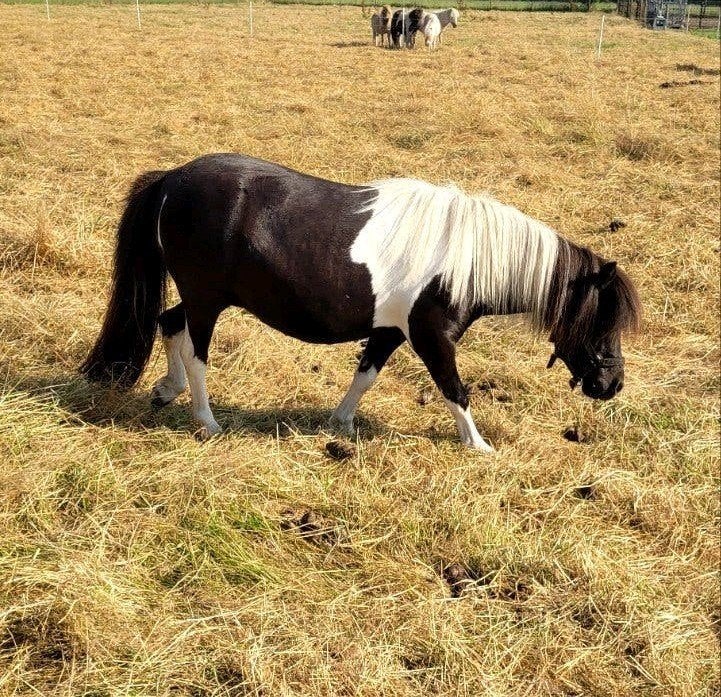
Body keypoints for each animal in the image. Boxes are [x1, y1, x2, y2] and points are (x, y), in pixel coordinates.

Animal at [81, 154, 641, 451]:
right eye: (601, 321)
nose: (612, 384)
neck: (465, 256)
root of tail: (172, 179)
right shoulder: (431, 337)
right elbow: (455, 391)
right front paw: (478, 445)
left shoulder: (390, 330)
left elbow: (365, 375)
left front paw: (341, 423)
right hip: (206, 301)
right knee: (195, 353)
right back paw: (206, 419)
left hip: (201, 297)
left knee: (167, 323)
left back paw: (166, 390)